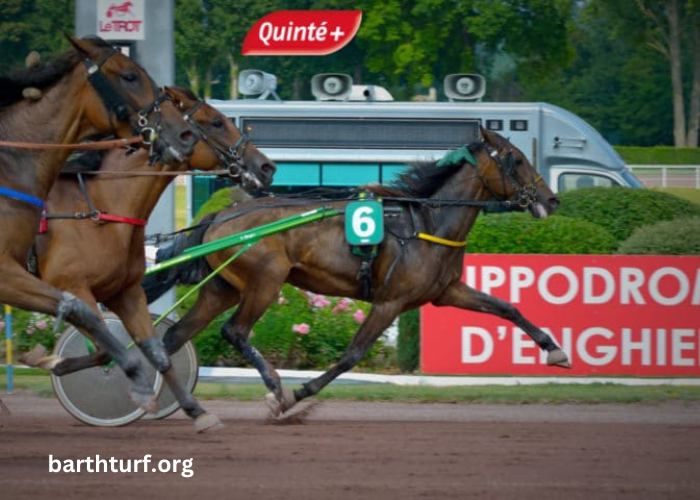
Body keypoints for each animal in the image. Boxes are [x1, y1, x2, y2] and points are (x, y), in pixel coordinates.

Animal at [1, 34, 197, 410]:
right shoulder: (24, 275)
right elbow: (84, 313)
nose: (185, 134)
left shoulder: (121, 287)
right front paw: (136, 379)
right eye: (130, 76)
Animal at [22, 86, 274, 430]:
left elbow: (152, 351)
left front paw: (197, 411)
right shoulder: (74, 287)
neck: (98, 207)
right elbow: (106, 350)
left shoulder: (124, 290)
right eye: (216, 122)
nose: (266, 166)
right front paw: (50, 360)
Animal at [145, 127, 572, 416]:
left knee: (173, 338)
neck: (427, 223)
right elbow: (352, 354)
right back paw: (276, 389)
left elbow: (506, 307)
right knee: (234, 331)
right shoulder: (390, 301)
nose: (552, 199)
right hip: (266, 280)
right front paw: (299, 393)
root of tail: (219, 215)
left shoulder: (446, 291)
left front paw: (555, 351)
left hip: (223, 288)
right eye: (517, 160)